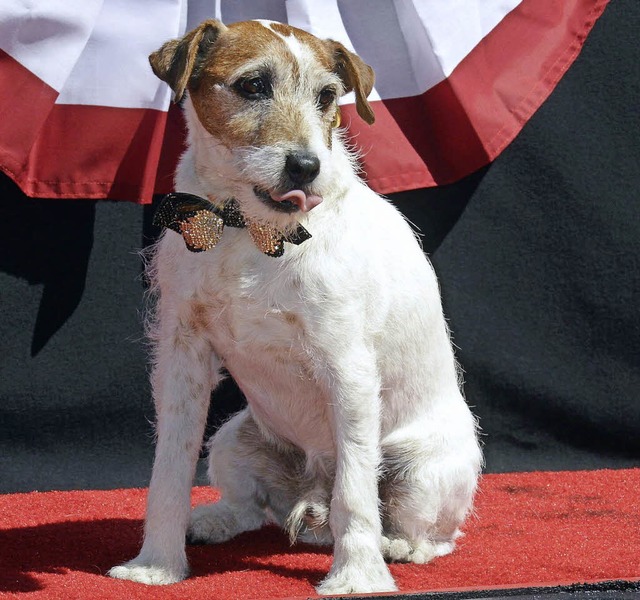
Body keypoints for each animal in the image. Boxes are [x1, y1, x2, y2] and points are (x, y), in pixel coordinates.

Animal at [109, 18, 480, 596]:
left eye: (327, 96)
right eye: (252, 86)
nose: (306, 167)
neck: (247, 228)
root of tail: (312, 495)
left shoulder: (348, 367)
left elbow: (356, 492)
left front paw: (357, 577)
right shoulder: (182, 356)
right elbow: (169, 469)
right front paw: (156, 565)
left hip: (422, 470)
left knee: (421, 526)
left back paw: (398, 546)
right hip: (232, 441)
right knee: (252, 508)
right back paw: (214, 519)